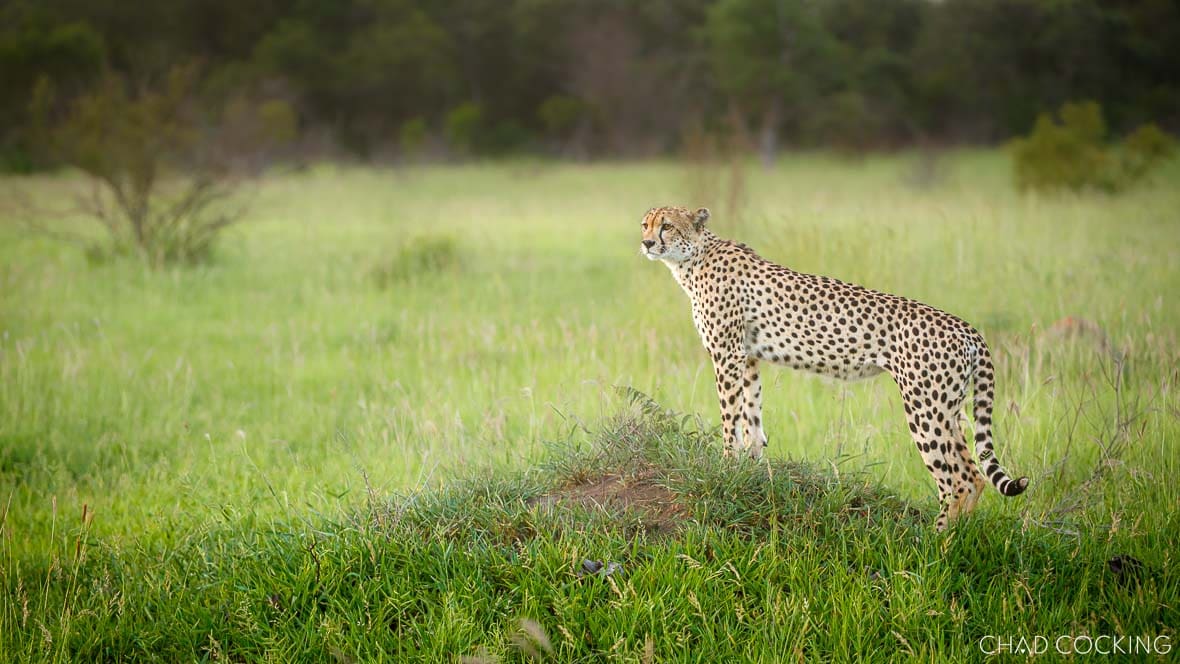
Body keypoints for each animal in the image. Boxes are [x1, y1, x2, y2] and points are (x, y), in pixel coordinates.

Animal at [640, 205, 1028, 530]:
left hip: (925, 407)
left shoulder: (727, 354)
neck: (695, 258)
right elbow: (752, 417)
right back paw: (959, 538)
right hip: (948, 407)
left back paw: (937, 542)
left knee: (958, 479)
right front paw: (750, 468)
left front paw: (725, 466)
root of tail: (965, 326)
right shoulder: (747, 358)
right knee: (974, 475)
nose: (646, 242)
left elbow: (730, 417)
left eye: (667, 226)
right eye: (646, 224)